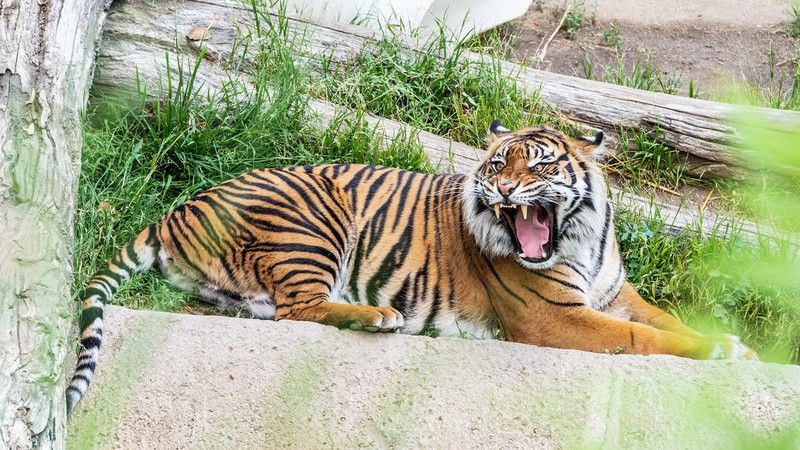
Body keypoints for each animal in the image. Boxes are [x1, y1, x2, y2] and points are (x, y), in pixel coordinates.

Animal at [66, 121, 756, 414]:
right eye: (497, 164)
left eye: (536, 165)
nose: (503, 190)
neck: (579, 240)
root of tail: (179, 210)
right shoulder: (558, 318)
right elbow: (643, 339)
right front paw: (724, 351)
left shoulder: (616, 294)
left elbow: (668, 320)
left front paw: (738, 346)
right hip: (315, 218)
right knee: (297, 308)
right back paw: (378, 315)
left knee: (264, 308)